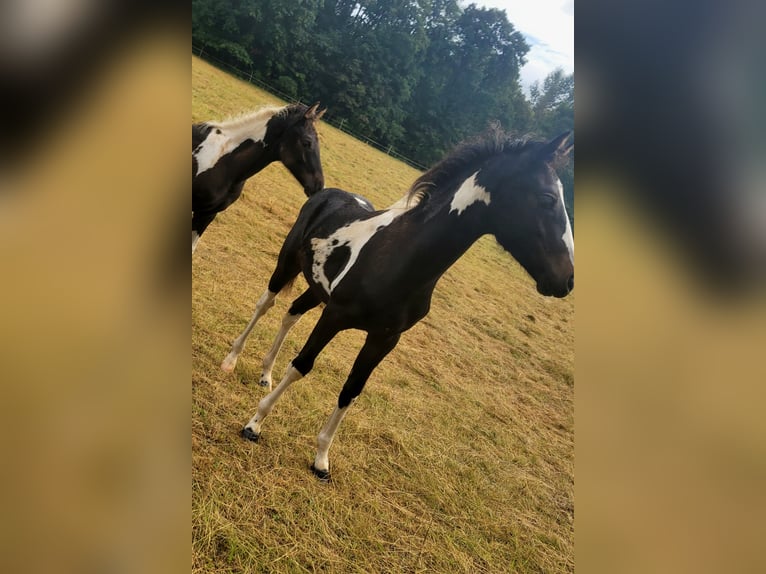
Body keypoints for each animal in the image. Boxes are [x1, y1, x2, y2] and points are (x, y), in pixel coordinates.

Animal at [222, 129, 576, 482]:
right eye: (547, 198)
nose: (566, 280)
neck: (399, 258)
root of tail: (326, 193)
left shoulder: (384, 338)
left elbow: (351, 390)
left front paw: (321, 459)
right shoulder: (335, 316)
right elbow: (301, 365)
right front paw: (255, 424)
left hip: (317, 290)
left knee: (291, 313)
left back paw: (266, 373)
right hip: (288, 266)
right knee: (265, 304)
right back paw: (231, 360)